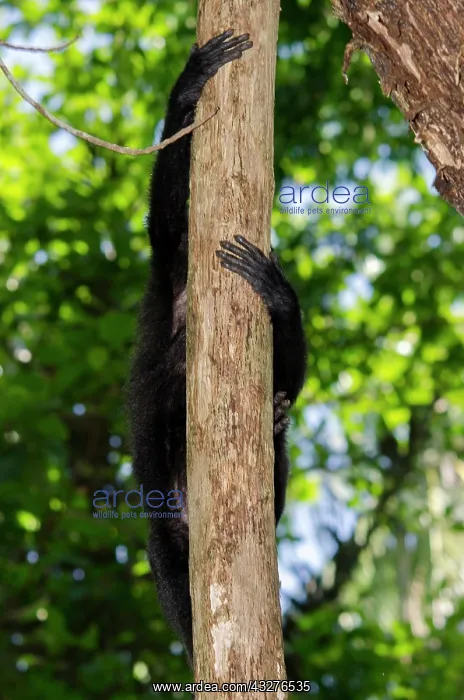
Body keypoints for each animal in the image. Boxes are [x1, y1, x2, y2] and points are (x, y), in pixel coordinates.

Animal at [127, 30, 306, 666]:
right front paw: (187, 89)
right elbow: (162, 219)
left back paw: (274, 425)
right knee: (161, 546)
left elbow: (288, 377)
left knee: (278, 441)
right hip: (168, 519)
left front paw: (282, 297)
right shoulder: (166, 265)